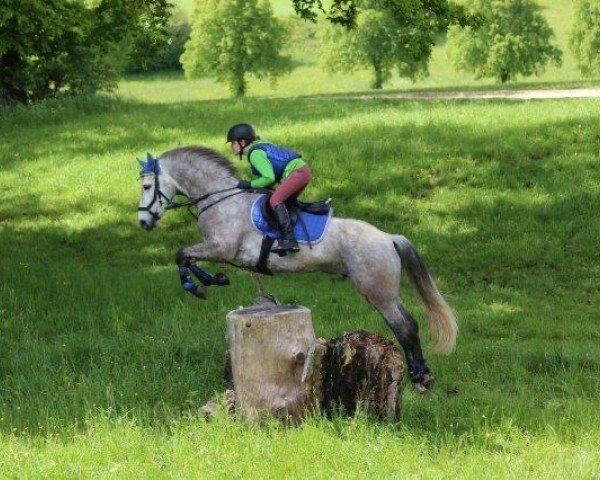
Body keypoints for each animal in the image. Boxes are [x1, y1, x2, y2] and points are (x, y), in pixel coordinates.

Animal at [135, 147, 454, 394]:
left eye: (147, 187)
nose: (142, 222)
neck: (220, 199)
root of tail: (388, 238)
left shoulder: (221, 247)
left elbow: (182, 255)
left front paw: (201, 285)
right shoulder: (221, 251)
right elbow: (186, 258)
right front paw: (212, 280)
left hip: (378, 291)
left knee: (405, 326)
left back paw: (421, 378)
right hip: (383, 290)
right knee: (408, 324)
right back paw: (423, 375)